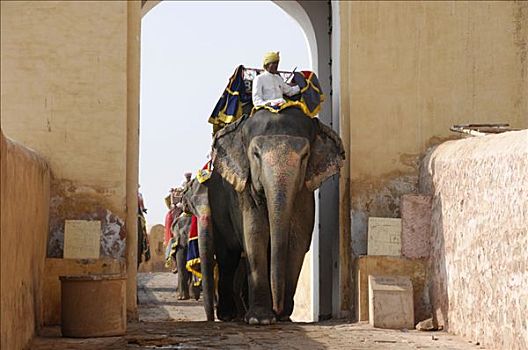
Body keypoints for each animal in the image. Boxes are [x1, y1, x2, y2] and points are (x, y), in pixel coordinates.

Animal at [184, 108, 344, 324]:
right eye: (256, 154)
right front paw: (260, 320)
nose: (278, 308)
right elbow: (254, 233)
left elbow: (298, 240)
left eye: (305, 155)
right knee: (228, 258)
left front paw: (283, 316)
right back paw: (227, 315)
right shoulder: (244, 190)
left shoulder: (304, 192)